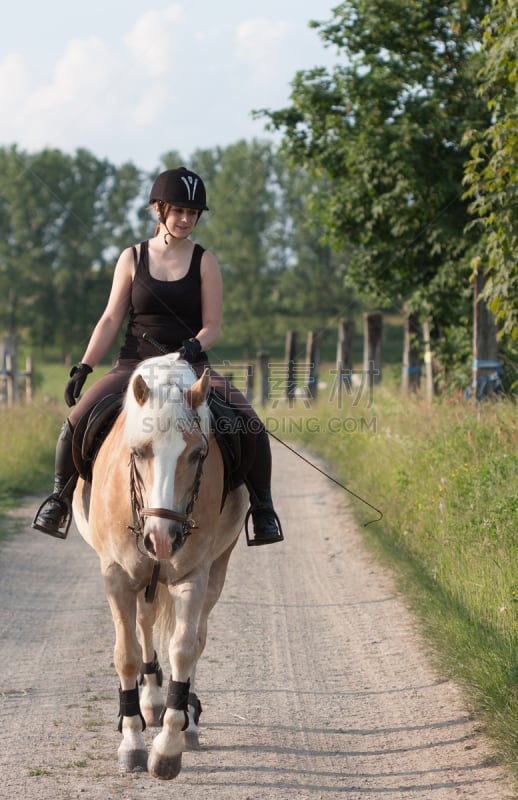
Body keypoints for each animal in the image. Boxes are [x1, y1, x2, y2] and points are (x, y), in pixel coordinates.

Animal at [72, 354, 250, 780]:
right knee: (145, 625)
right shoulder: (117, 576)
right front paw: (132, 741)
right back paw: (150, 702)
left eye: (198, 454)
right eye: (138, 452)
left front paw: (168, 746)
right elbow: (127, 654)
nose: (163, 538)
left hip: (214, 571)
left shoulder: (193, 575)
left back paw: (185, 718)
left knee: (195, 637)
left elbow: (184, 649)